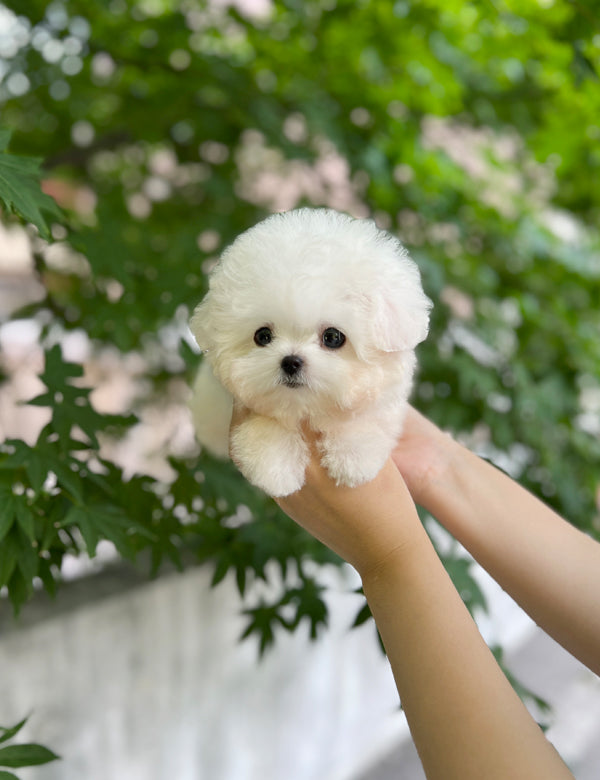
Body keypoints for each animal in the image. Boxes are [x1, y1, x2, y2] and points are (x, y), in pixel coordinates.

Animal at [190, 207, 428, 496]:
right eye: (262, 336)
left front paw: (353, 457)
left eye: (333, 337)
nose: (291, 362)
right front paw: (275, 467)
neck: (305, 407)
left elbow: (363, 416)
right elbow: (267, 421)